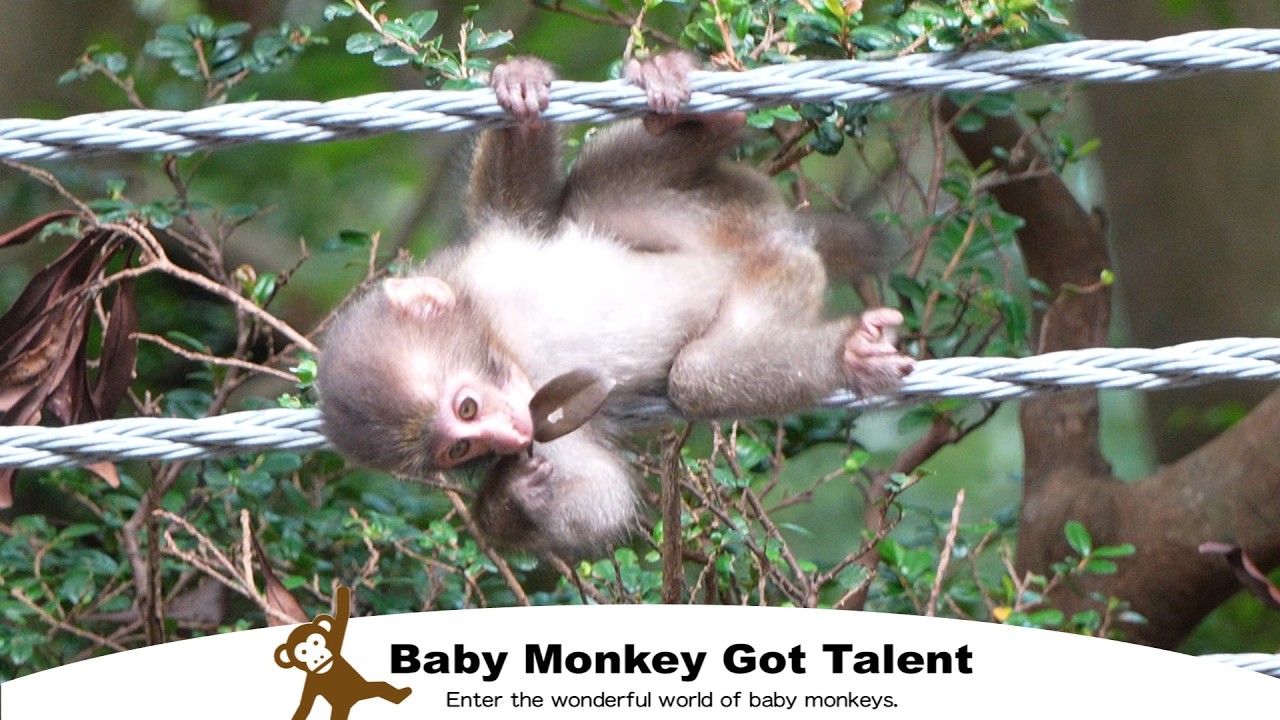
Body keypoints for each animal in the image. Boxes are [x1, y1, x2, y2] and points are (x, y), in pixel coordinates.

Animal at [316, 53, 914, 556]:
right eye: (459, 451)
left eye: (465, 408)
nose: (508, 435)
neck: (504, 339)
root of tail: (780, 237)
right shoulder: (547, 420)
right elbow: (599, 496)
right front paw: (510, 498)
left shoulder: (487, 262)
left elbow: (526, 209)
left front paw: (518, 86)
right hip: (771, 271)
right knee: (699, 375)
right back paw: (844, 354)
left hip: (717, 210)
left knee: (597, 193)